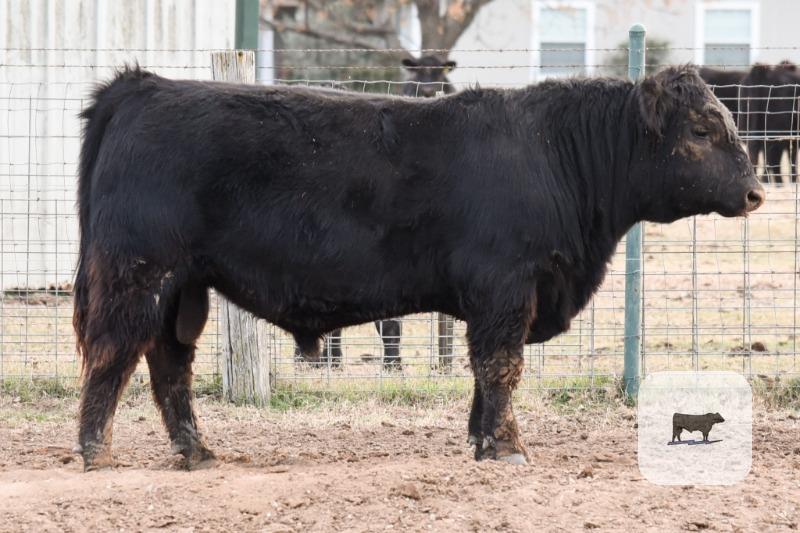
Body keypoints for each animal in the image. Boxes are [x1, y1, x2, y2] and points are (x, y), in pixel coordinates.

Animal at [73, 65, 763, 471]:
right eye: (702, 129)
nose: (756, 191)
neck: (555, 154)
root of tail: (143, 85)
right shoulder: (506, 289)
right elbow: (502, 367)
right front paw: (507, 449)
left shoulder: (497, 301)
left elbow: (485, 374)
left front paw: (482, 441)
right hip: (139, 274)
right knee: (114, 354)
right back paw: (95, 452)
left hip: (182, 289)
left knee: (169, 365)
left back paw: (197, 451)